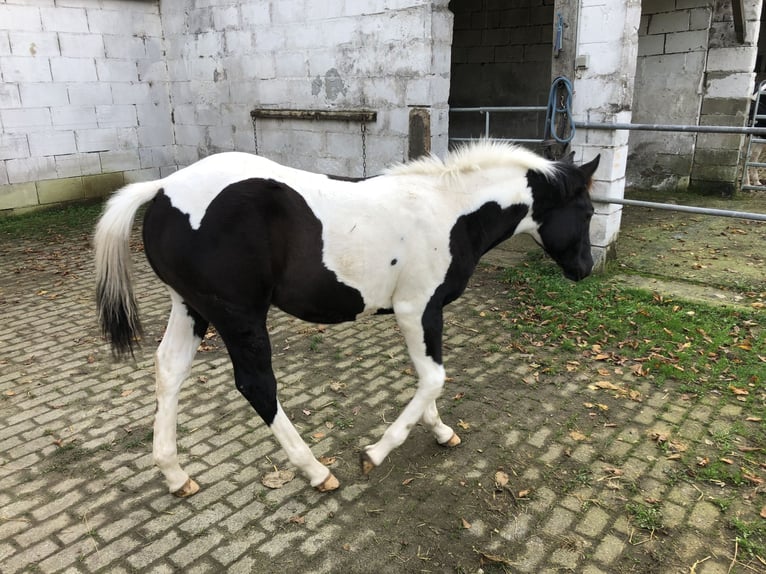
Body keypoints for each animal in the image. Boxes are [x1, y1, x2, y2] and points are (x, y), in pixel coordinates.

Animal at [94, 140, 600, 497]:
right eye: (589, 210)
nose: (585, 269)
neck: (449, 211)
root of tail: (162, 190)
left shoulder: (420, 313)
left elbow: (427, 379)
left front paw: (441, 431)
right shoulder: (418, 308)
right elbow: (434, 378)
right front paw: (376, 453)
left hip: (193, 307)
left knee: (169, 370)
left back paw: (176, 475)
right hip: (238, 315)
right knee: (257, 386)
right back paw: (317, 471)